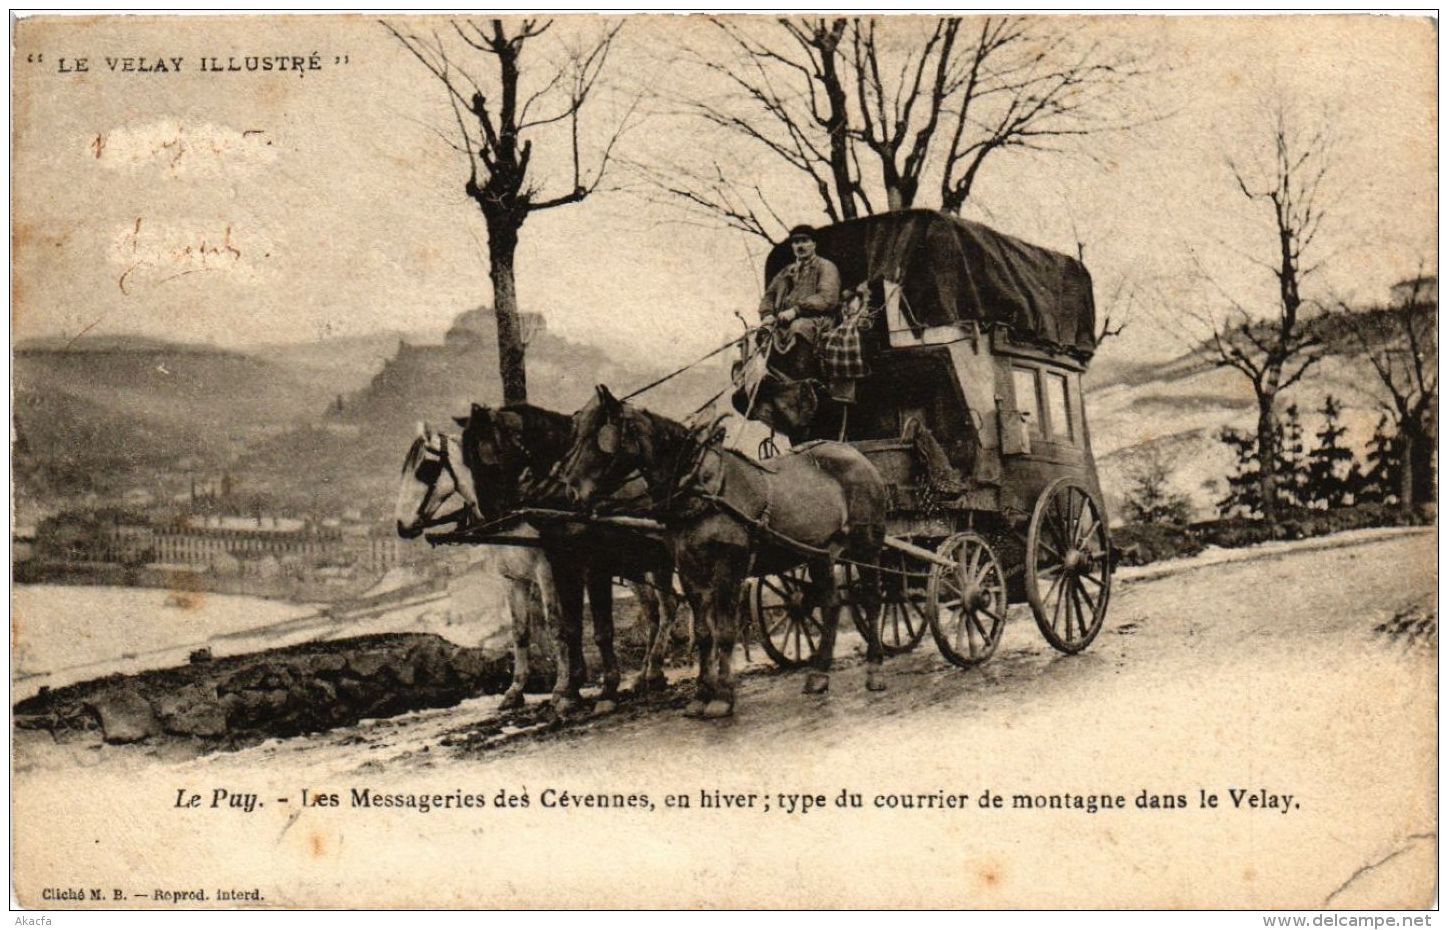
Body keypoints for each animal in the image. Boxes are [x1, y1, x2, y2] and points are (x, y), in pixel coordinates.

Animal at [451, 402, 677, 712]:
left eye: (488, 452)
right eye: (465, 459)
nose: (487, 512)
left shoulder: (585, 568)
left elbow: (591, 629)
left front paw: (599, 689)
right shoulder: (546, 570)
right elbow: (553, 629)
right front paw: (561, 690)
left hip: (661, 562)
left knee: (669, 609)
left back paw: (654, 670)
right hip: (637, 567)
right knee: (654, 611)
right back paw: (645, 675)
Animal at [558, 382, 886, 718]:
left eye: (596, 436)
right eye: (575, 434)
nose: (570, 491)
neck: (702, 487)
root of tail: (854, 453)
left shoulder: (729, 563)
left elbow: (726, 630)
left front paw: (723, 696)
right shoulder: (688, 567)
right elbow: (704, 632)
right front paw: (701, 694)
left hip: (867, 545)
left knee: (873, 600)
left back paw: (874, 669)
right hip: (818, 552)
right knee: (831, 603)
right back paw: (819, 675)